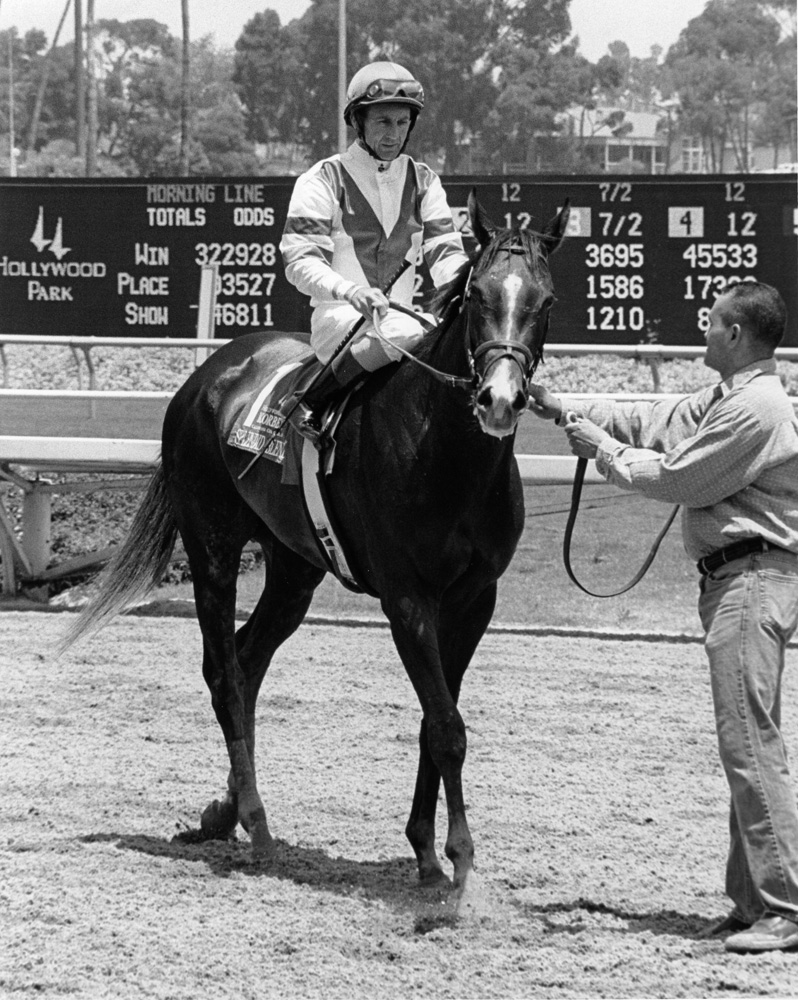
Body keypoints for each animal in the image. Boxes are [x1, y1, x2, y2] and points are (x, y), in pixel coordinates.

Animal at [67, 193, 568, 916]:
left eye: (545, 300)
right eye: (476, 296)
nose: (498, 399)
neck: (448, 455)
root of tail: (210, 372)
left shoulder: (475, 599)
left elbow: (434, 719)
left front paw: (425, 852)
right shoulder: (407, 600)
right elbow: (447, 725)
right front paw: (460, 860)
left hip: (293, 569)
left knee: (247, 660)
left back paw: (224, 811)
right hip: (213, 549)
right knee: (223, 671)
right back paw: (254, 821)